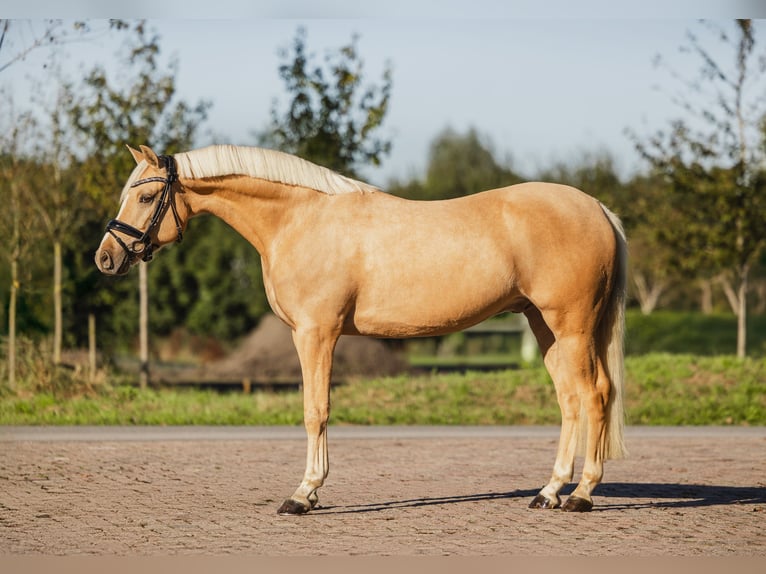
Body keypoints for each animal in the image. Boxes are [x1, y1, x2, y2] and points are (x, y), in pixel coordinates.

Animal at [93, 145, 628, 516]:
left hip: (571, 326)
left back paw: (581, 495)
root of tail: (597, 208)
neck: (298, 218)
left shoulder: (316, 333)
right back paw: (549, 492)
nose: (106, 258)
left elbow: (315, 411)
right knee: (570, 400)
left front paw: (304, 494)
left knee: (595, 394)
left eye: (146, 195)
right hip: (544, 325)